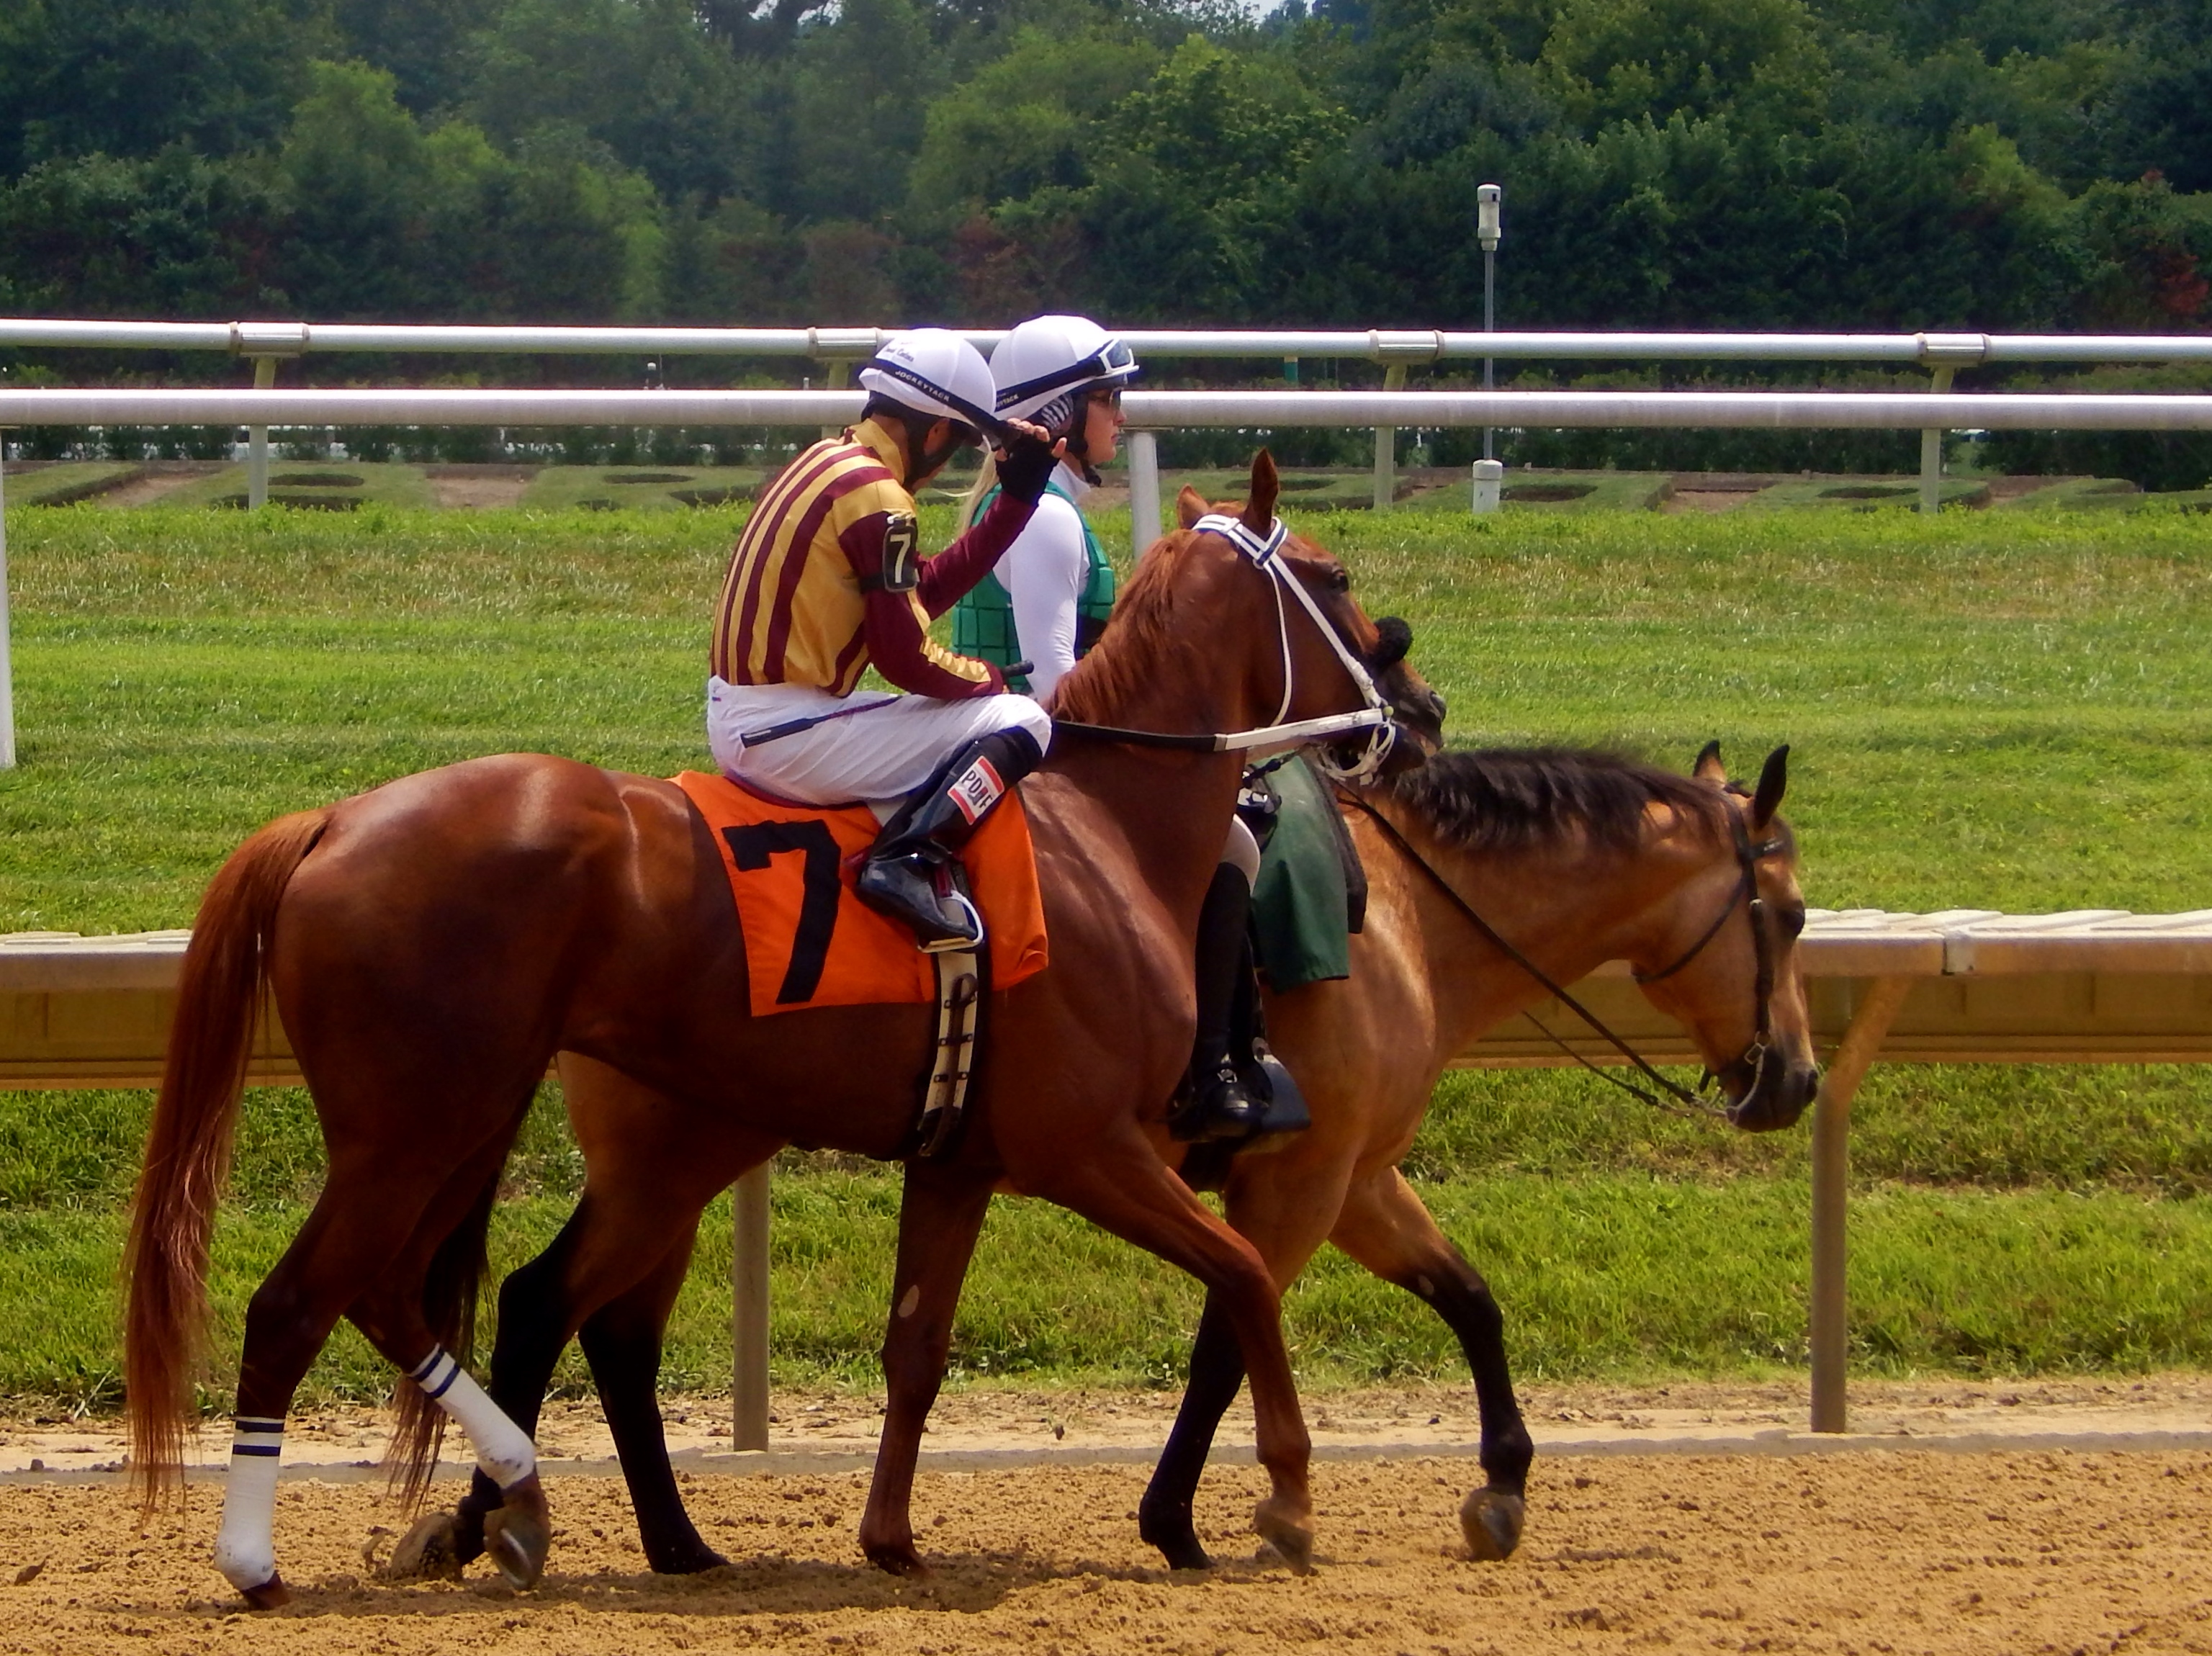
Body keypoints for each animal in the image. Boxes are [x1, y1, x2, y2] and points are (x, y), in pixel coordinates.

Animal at [124, 450, 1448, 1607]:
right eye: (1331, 574)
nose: (1418, 708)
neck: (1105, 828)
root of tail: (334, 819)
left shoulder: (961, 1162)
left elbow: (917, 1345)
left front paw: (892, 1536)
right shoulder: (1088, 1148)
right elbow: (1245, 1279)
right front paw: (1284, 1499)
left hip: (552, 1132)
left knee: (462, 1300)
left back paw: (542, 1506)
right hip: (417, 1127)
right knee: (302, 1304)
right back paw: (262, 1560)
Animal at [1134, 739, 1819, 1572]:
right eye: (1793, 916)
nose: (1801, 1078)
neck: (1402, 920)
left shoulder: (1356, 1179)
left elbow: (1469, 1298)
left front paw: (1503, 1485)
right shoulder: (1296, 1184)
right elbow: (1227, 1346)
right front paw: (1185, 1517)